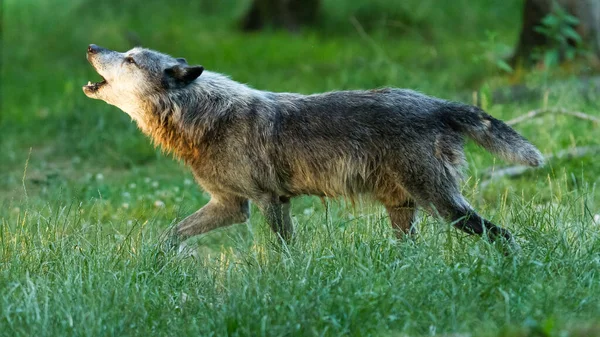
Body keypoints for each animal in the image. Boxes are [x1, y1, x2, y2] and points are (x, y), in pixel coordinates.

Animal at [81, 44, 544, 244]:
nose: (91, 46)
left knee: (503, 236)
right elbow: (168, 235)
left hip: (443, 207)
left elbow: (282, 251)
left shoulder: (268, 201)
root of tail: (437, 104)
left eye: (130, 59)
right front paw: (151, 263)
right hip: (404, 211)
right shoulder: (231, 206)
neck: (202, 117)